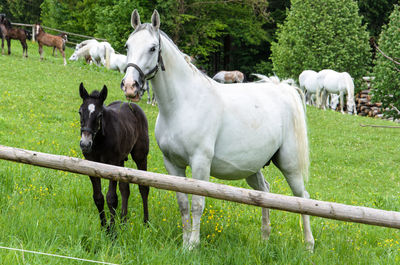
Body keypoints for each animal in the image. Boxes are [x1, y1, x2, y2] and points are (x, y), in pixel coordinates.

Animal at [120, 9, 314, 251]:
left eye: (153, 48)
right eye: (127, 45)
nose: (130, 86)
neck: (183, 104)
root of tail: (282, 90)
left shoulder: (200, 164)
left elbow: (197, 203)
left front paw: (193, 246)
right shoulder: (172, 164)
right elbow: (183, 204)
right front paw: (184, 243)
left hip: (290, 165)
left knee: (302, 198)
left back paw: (308, 245)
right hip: (253, 168)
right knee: (264, 192)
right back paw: (265, 239)